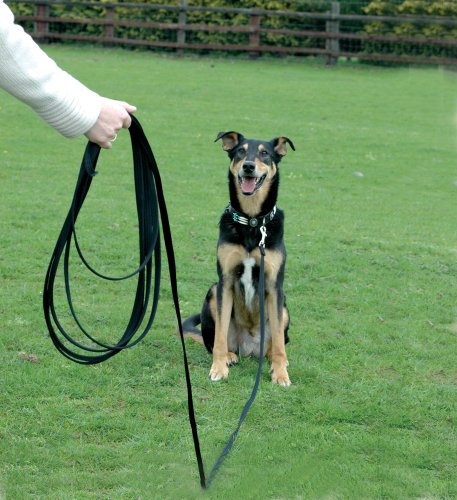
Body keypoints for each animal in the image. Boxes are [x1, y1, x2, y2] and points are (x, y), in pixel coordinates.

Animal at [183, 130, 296, 386]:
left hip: (283, 306)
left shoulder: (274, 285)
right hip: (213, 292)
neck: (252, 221)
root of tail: (250, 349)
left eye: (265, 153)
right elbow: (219, 339)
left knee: (276, 344)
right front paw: (218, 368)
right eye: (240, 151)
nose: (248, 166)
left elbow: (279, 344)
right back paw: (229, 356)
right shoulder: (225, 281)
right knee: (215, 340)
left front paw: (280, 374)